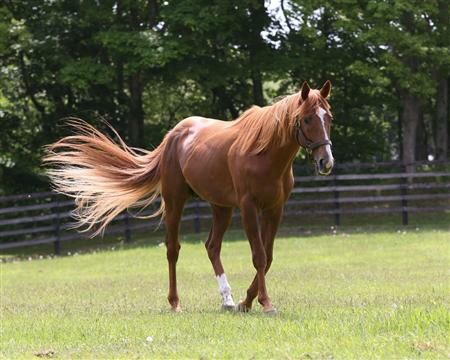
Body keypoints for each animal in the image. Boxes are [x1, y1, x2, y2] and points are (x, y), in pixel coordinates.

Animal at [44, 80, 334, 314]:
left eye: (328, 117)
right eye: (307, 119)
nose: (326, 162)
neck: (264, 154)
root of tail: (174, 134)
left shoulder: (275, 209)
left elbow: (268, 256)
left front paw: (246, 302)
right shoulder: (249, 208)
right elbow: (259, 256)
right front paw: (266, 303)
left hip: (221, 207)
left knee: (212, 246)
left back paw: (227, 300)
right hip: (176, 201)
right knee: (173, 250)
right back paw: (175, 303)